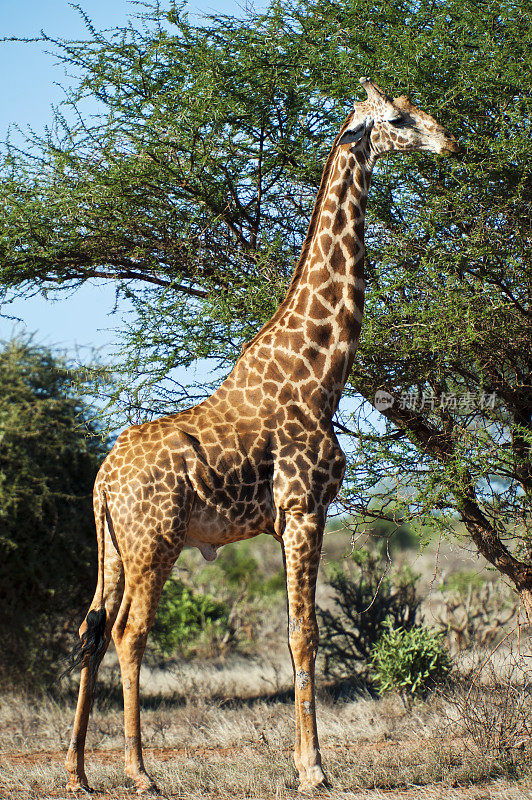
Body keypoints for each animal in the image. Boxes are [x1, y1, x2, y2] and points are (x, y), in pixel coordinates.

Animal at [64, 79, 460, 792]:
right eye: (397, 118)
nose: (448, 141)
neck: (320, 373)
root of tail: (104, 480)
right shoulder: (304, 509)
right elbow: (305, 635)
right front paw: (314, 770)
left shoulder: (285, 521)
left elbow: (295, 633)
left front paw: (308, 764)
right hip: (155, 542)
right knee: (131, 633)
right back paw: (140, 772)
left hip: (112, 547)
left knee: (92, 627)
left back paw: (79, 772)